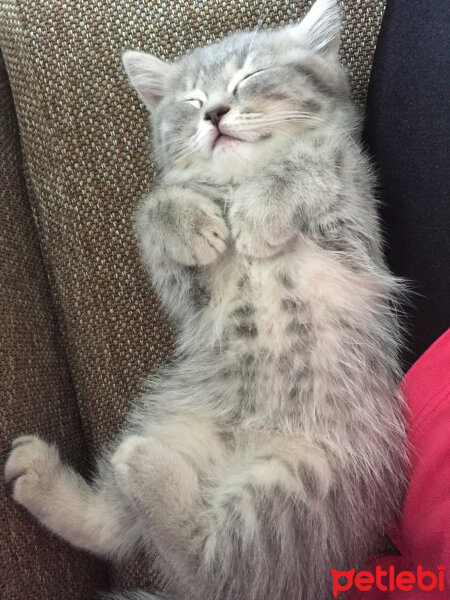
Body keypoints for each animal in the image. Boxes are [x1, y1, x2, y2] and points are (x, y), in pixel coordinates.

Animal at [5, 1, 410, 600]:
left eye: (249, 77)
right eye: (191, 101)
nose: (214, 113)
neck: (237, 180)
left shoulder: (352, 212)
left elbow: (311, 163)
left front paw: (262, 212)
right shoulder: (184, 289)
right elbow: (154, 205)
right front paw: (189, 221)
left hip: (298, 476)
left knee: (213, 565)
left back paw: (140, 466)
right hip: (178, 419)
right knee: (128, 531)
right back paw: (54, 475)